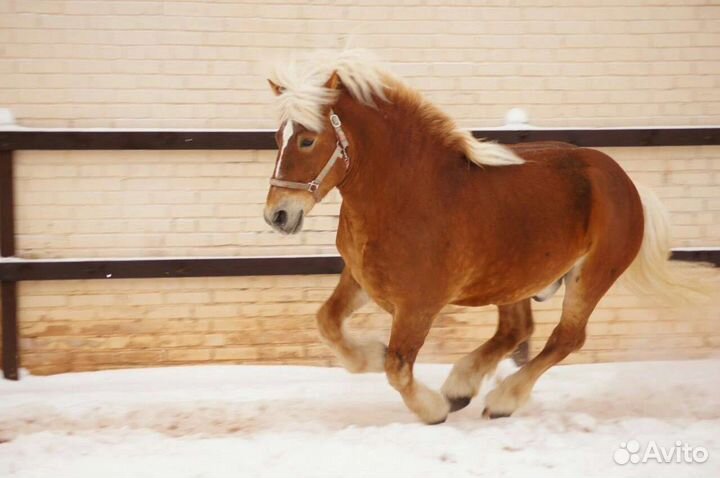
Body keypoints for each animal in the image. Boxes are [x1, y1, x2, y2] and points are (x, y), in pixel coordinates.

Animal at [262, 50, 689, 424]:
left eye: (307, 140)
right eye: (278, 139)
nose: (278, 215)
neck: (407, 195)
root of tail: (627, 184)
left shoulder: (419, 305)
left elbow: (397, 366)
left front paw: (431, 409)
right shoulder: (360, 279)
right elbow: (328, 324)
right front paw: (372, 355)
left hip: (591, 277)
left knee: (566, 338)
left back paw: (500, 400)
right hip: (515, 278)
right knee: (517, 330)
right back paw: (461, 388)